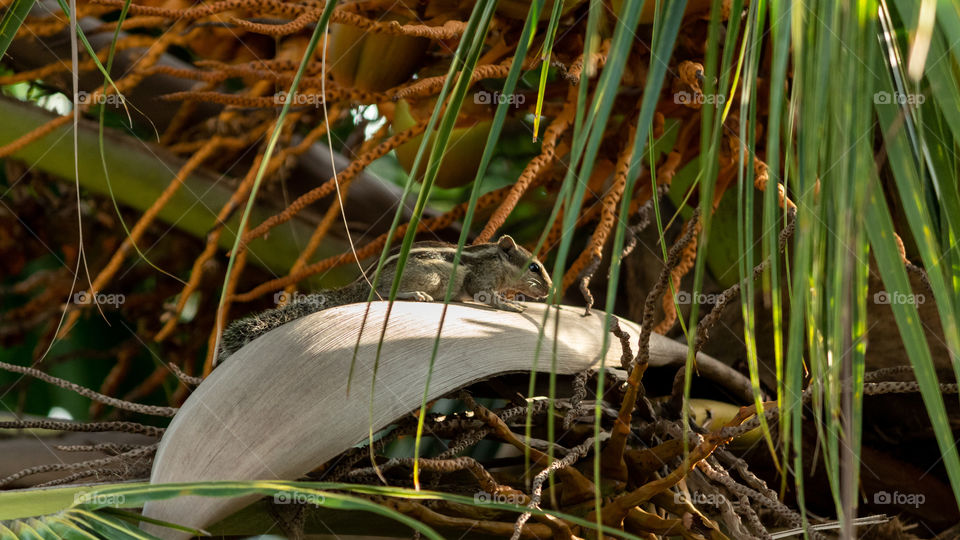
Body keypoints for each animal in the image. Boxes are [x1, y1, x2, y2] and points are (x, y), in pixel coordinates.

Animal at [216, 235, 553, 365]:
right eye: (534, 267)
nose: (550, 289)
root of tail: (360, 287)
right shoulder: (479, 280)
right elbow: (486, 296)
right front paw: (511, 304)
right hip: (428, 276)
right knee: (381, 295)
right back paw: (415, 295)